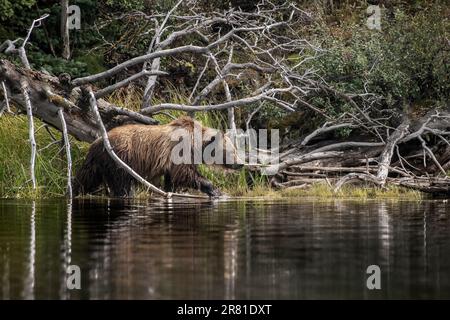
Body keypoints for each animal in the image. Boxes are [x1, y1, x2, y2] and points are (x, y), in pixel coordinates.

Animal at [73, 117, 243, 198]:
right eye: (232, 151)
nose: (241, 163)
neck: (196, 143)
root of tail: (98, 141)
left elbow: (172, 179)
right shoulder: (180, 150)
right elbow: (185, 173)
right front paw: (215, 191)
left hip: (98, 162)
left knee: (86, 177)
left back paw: (75, 190)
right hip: (120, 159)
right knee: (122, 183)